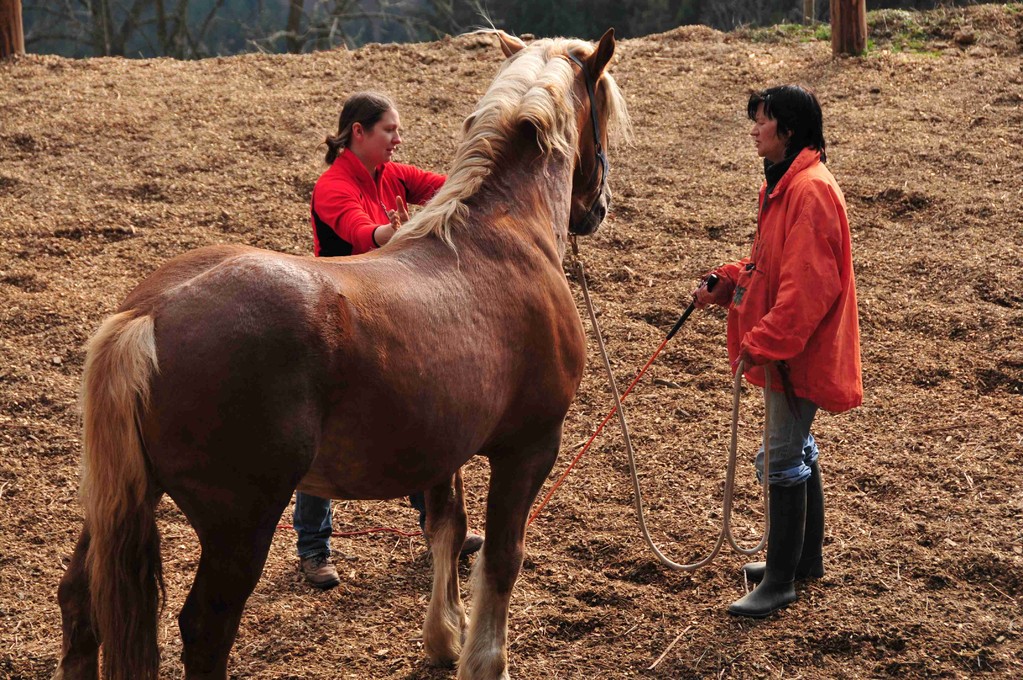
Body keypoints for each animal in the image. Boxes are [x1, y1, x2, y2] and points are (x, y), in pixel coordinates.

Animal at [53, 29, 630, 678]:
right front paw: (484, 659)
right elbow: (503, 557)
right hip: (239, 525)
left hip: (120, 500)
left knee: (80, 603)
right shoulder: (530, 446)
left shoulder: (443, 449)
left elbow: (446, 529)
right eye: (602, 116)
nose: (598, 207)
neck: (502, 235)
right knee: (204, 629)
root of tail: (149, 314)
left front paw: (443, 637)